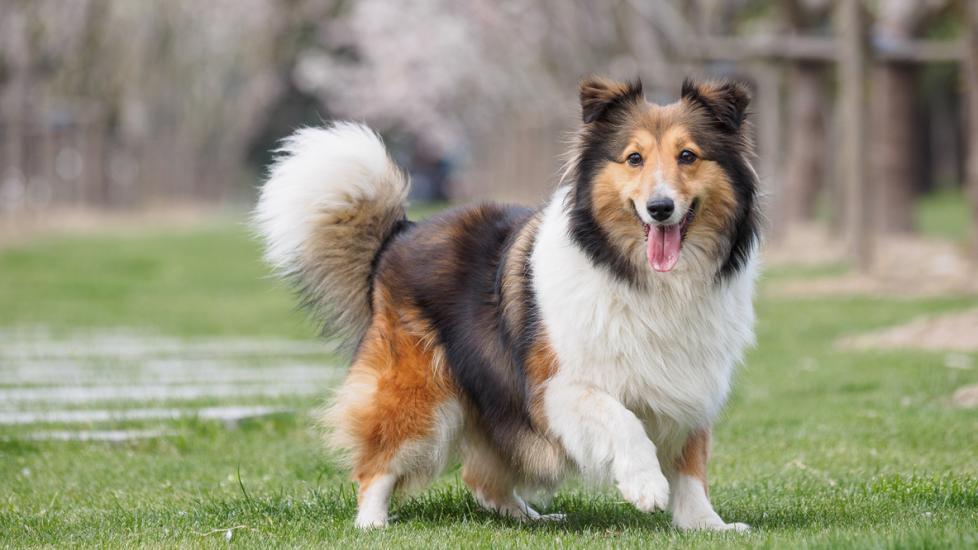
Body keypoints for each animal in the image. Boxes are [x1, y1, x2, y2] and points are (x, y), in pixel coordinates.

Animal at [252, 75, 756, 532]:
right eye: (634, 158)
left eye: (687, 156)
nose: (660, 208)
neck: (640, 276)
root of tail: (400, 233)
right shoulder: (557, 385)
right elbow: (622, 419)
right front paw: (645, 484)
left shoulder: (688, 383)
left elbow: (691, 465)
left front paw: (707, 525)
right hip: (419, 394)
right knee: (378, 463)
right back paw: (372, 523)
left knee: (482, 479)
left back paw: (532, 516)